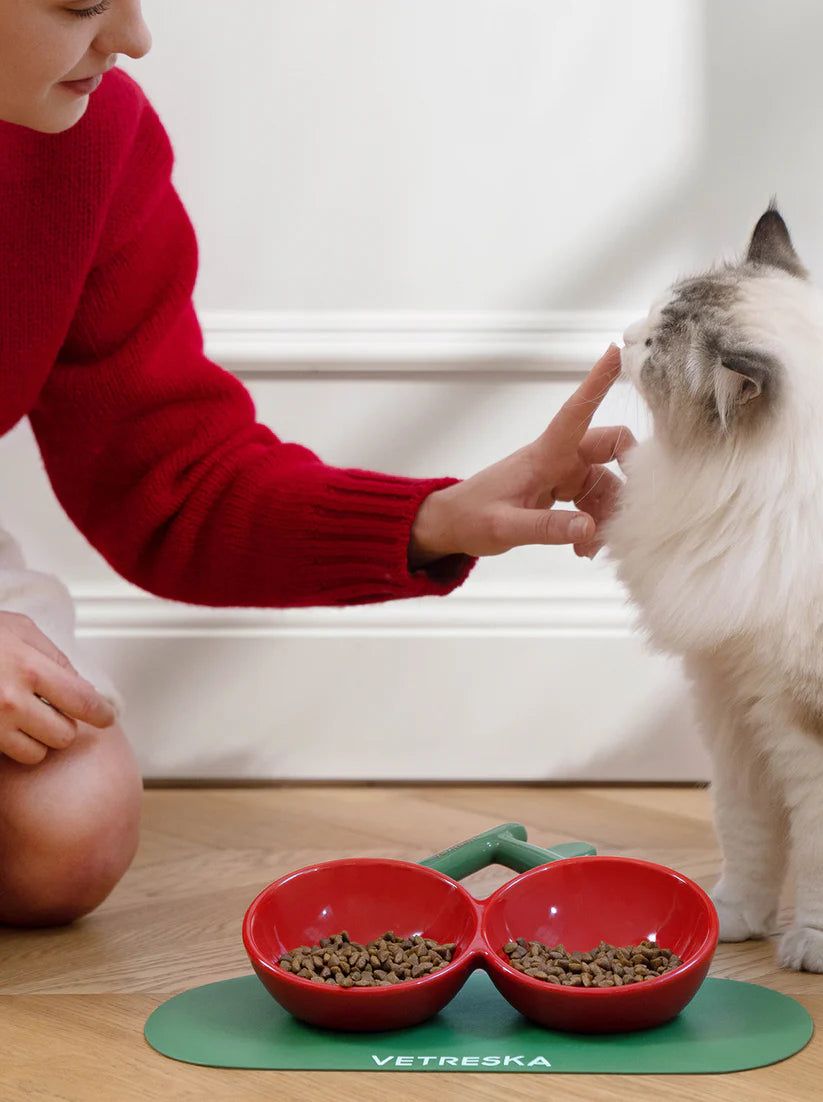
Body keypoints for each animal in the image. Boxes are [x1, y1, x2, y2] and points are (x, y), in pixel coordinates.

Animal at [606, 204, 823, 972]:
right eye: (650, 316)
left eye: (654, 345)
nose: (622, 334)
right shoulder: (734, 707)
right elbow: (748, 834)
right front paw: (731, 920)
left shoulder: (804, 729)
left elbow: (815, 854)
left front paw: (809, 945)